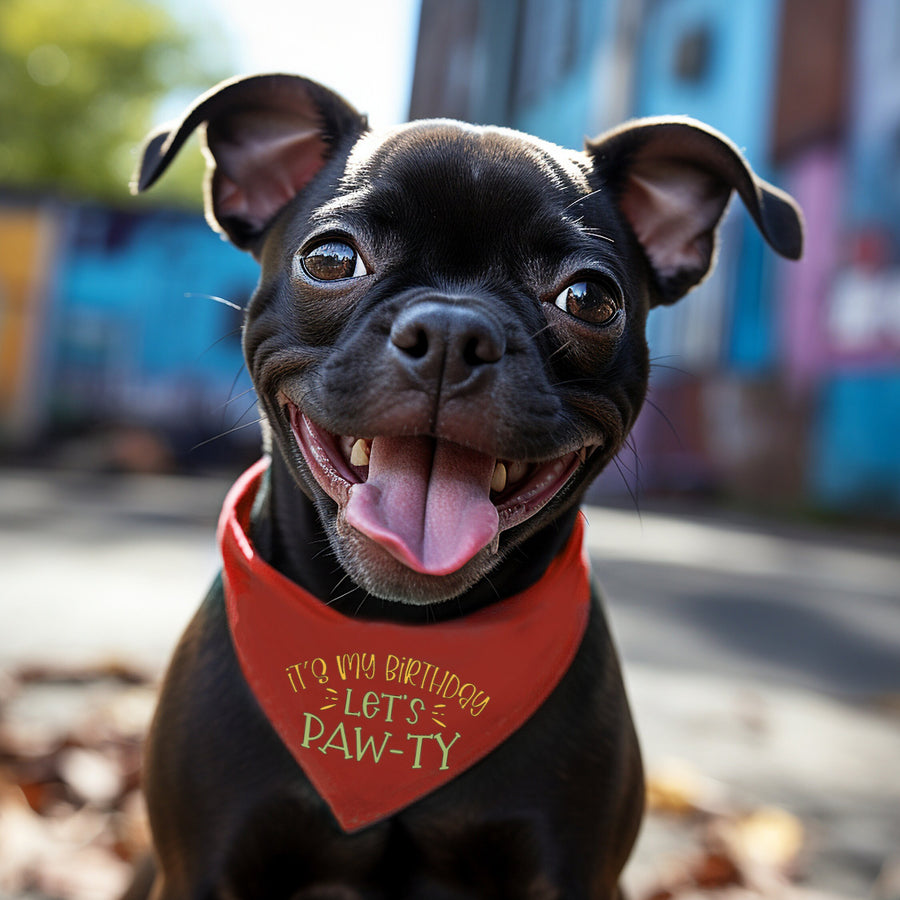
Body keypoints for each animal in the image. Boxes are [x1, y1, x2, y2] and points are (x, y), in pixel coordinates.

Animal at [125, 72, 800, 900]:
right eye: (331, 258)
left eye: (590, 299)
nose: (451, 331)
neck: (399, 646)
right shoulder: (202, 866)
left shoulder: (573, 872)